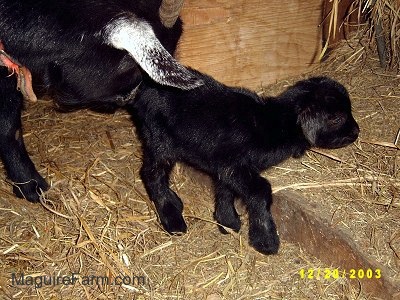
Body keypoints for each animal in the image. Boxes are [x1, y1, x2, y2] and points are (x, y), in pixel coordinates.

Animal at [130, 73, 360, 255]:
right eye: (336, 118)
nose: (356, 132)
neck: (271, 124)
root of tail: (146, 88)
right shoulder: (235, 165)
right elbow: (260, 190)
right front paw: (265, 241)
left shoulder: (226, 166)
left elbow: (225, 189)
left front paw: (226, 221)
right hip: (159, 140)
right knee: (152, 174)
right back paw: (172, 218)